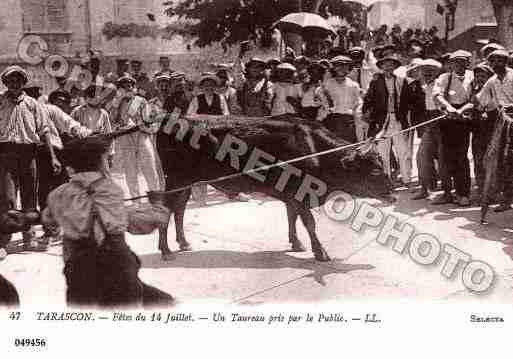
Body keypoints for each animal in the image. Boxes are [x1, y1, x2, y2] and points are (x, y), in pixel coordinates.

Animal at [155, 116, 392, 262]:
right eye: (374, 171)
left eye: (383, 164)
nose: (392, 193)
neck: (314, 148)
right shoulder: (300, 196)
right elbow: (309, 223)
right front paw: (321, 252)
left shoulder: (291, 196)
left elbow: (291, 217)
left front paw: (296, 243)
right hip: (175, 180)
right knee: (166, 210)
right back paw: (166, 251)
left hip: (187, 183)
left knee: (179, 210)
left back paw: (184, 243)